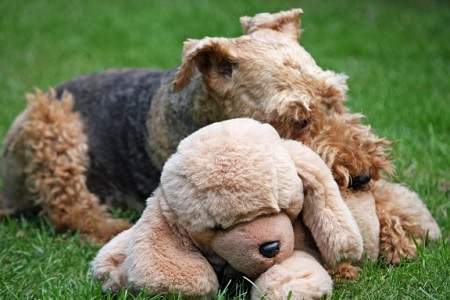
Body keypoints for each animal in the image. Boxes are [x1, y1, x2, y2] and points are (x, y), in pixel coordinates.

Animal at [0, 7, 440, 264]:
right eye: (296, 119)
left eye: (335, 98)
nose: (363, 176)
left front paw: (405, 227)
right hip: (52, 124)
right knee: (68, 208)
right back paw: (110, 227)